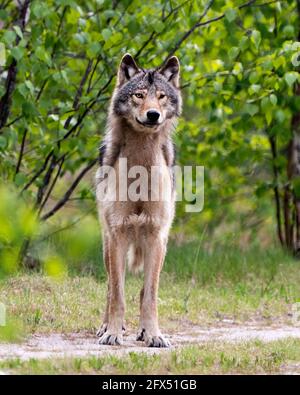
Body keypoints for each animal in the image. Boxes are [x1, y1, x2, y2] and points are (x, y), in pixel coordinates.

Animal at [95, 53, 182, 350]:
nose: (153, 114)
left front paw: (154, 334)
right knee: (110, 286)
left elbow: (149, 295)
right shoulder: (118, 235)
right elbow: (117, 294)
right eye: (139, 95)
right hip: (108, 244)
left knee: (145, 288)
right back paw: (106, 327)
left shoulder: (156, 236)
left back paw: (143, 332)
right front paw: (112, 333)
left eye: (161, 97)